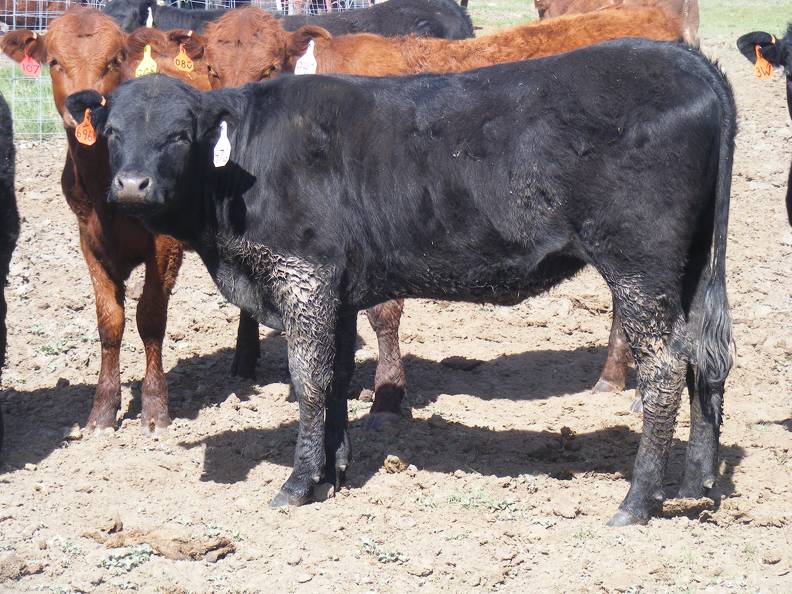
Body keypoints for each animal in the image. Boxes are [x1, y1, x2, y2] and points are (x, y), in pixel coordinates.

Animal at [0, 5, 183, 430]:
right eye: (53, 60)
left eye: (114, 60)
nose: (83, 100)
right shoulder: (89, 240)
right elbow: (109, 322)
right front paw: (103, 409)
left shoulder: (165, 244)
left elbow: (150, 316)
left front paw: (155, 408)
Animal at [66, 40, 736, 524]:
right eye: (115, 131)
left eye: (181, 133)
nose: (130, 186)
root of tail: (690, 62)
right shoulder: (334, 291)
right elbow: (336, 377)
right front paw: (332, 472)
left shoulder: (303, 276)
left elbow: (308, 381)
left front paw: (298, 483)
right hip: (690, 270)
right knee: (704, 359)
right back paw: (696, 480)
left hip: (639, 267)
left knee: (665, 369)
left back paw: (638, 500)